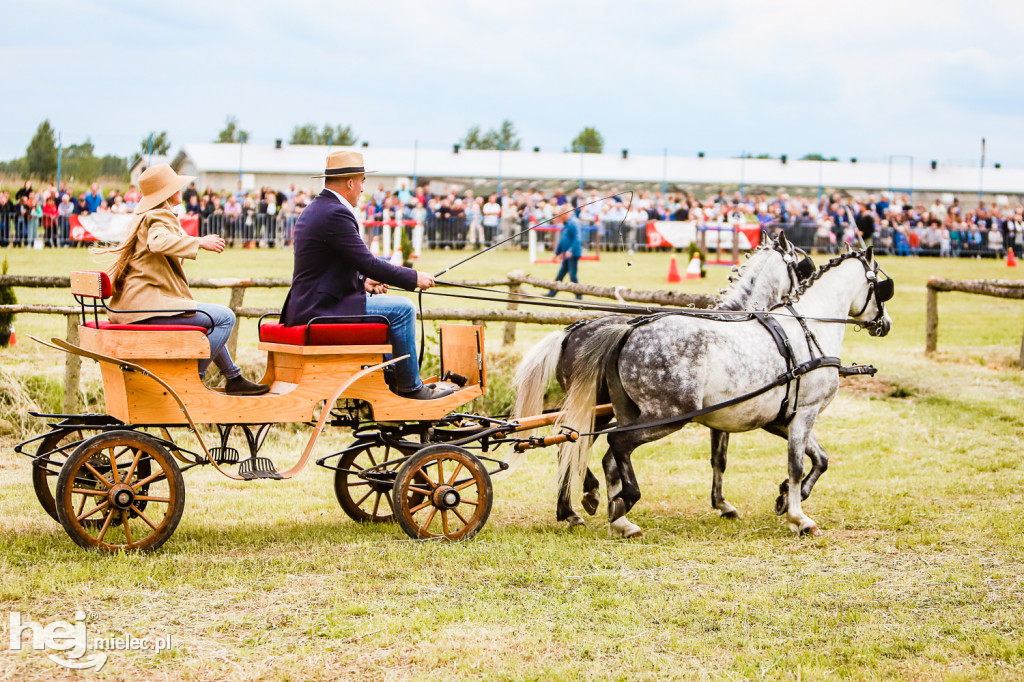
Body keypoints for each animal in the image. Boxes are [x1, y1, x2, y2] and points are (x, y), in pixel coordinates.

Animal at [512, 233, 815, 536]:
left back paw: (573, 509)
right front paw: (732, 504)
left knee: (569, 444)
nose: (801, 299)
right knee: (573, 446)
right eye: (802, 269)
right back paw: (585, 500)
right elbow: (725, 458)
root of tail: (571, 333)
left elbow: (719, 458)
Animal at [557, 245, 892, 536]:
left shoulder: (780, 417)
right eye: (882, 287)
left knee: (607, 456)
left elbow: (819, 458)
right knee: (611, 444)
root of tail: (626, 330)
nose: (885, 324)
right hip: (667, 415)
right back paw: (616, 502)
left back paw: (618, 520)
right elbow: (796, 465)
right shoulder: (804, 413)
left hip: (628, 413)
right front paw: (799, 517)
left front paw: (784, 498)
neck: (808, 329)